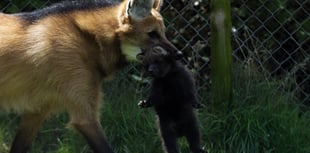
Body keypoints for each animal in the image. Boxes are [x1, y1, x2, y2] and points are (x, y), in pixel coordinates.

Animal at [0, 0, 182, 153]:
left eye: (163, 33)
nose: (179, 55)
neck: (90, 38)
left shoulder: (37, 111)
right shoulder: (85, 117)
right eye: (152, 34)